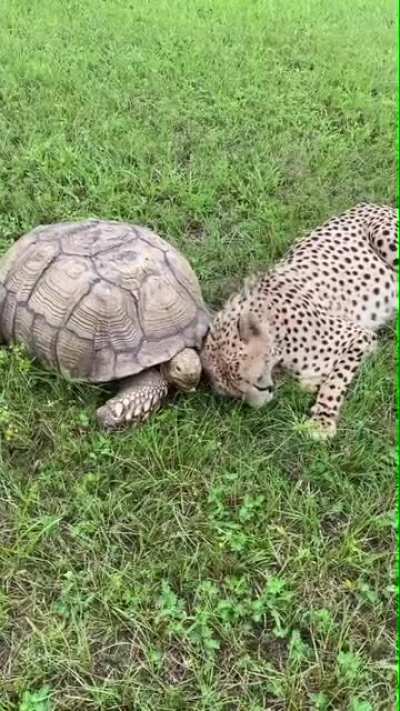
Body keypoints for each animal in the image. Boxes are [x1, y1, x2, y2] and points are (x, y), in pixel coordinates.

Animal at [201, 202, 398, 440]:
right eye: (237, 394)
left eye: (254, 380)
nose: (262, 401)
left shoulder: (359, 336)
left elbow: (335, 379)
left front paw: (322, 420)